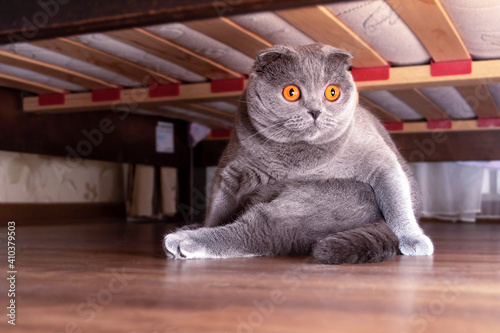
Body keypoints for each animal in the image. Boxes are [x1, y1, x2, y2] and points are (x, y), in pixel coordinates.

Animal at [164, 44, 434, 264]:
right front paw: (205, 220)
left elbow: (396, 197)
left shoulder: (378, 159)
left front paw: (413, 238)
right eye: (291, 92)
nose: (315, 111)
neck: (295, 158)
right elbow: (217, 207)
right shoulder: (230, 169)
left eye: (332, 92)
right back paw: (187, 230)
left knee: (258, 233)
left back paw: (181, 241)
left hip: (309, 204)